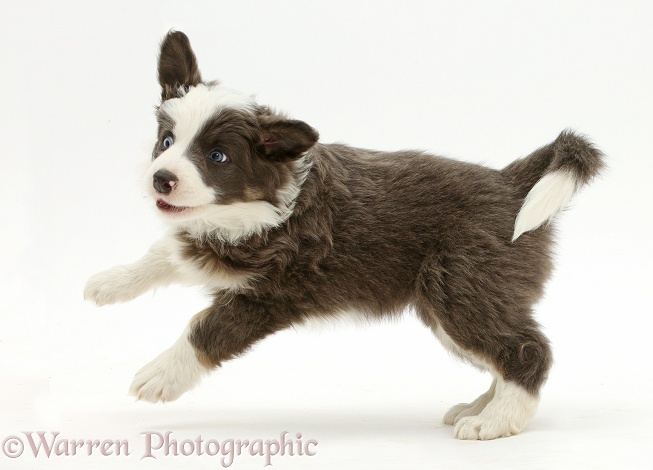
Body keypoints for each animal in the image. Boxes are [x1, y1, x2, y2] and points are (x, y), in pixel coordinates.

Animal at [84, 31, 604, 438]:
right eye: (167, 142)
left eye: (217, 157)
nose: (161, 179)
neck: (252, 206)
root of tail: (512, 183)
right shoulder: (209, 239)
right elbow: (166, 250)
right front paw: (108, 283)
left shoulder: (271, 294)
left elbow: (205, 328)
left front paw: (158, 375)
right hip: (457, 302)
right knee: (504, 349)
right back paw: (482, 405)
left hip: (461, 288)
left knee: (527, 349)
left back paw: (494, 421)